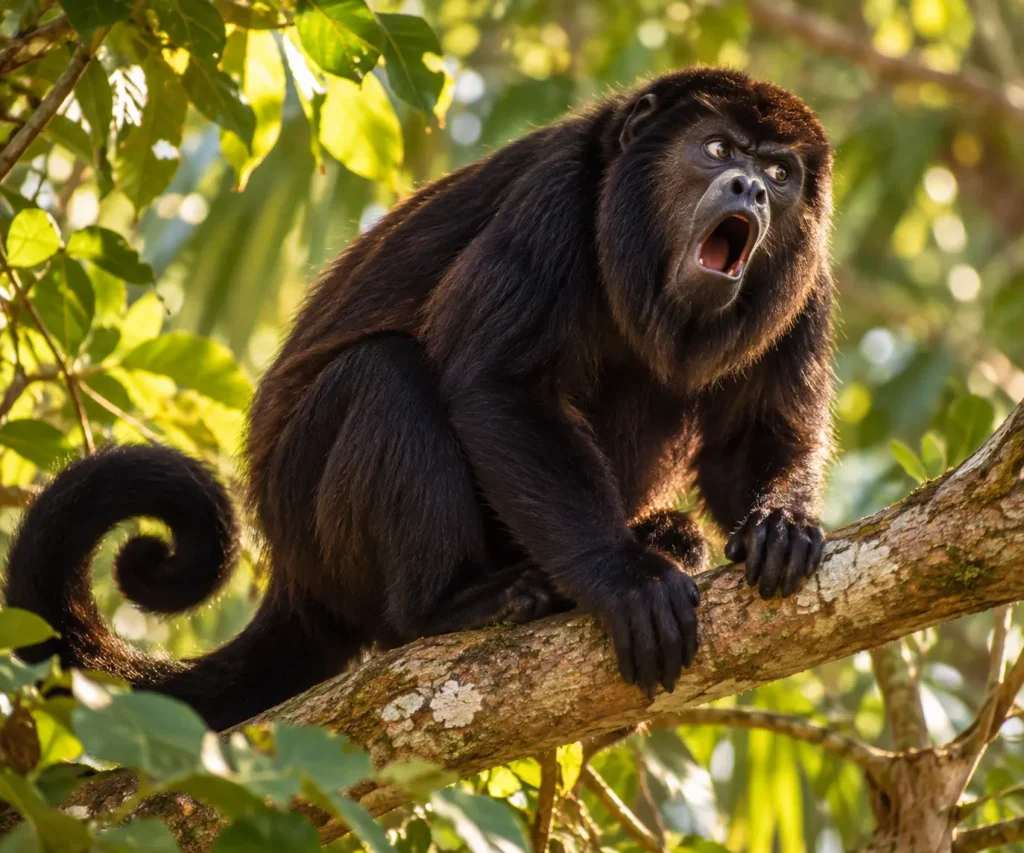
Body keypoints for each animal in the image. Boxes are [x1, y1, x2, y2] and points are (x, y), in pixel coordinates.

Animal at [3, 67, 834, 731]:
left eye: (780, 172)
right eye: (717, 149)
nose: (750, 189)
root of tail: (293, 575)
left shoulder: (810, 277)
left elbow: (753, 438)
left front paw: (779, 524)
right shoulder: (556, 196)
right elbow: (496, 382)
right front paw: (625, 577)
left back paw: (660, 534)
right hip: (316, 526)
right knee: (385, 375)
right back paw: (449, 605)